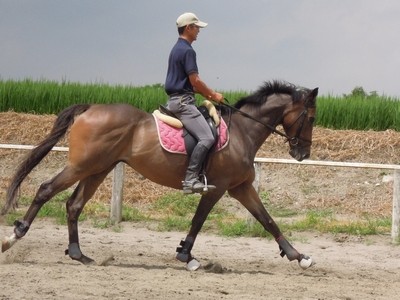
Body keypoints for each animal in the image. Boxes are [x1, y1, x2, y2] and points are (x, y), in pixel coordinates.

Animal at [0, 79, 318, 270]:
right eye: (312, 118)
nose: (303, 154)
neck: (243, 132)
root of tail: (90, 108)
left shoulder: (241, 187)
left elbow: (267, 220)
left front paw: (299, 257)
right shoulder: (217, 188)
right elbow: (198, 221)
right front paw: (186, 256)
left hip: (98, 168)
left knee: (74, 204)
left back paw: (78, 254)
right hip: (82, 166)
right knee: (45, 189)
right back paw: (13, 238)